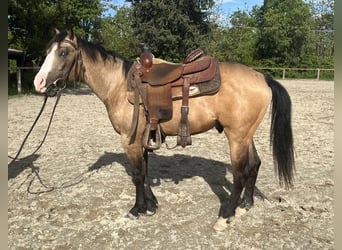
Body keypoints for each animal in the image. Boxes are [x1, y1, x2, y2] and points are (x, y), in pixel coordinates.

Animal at [33, 28, 294, 230]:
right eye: (47, 52)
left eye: (63, 52)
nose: (39, 82)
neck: (119, 86)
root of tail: (262, 78)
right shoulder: (143, 139)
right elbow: (146, 172)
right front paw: (151, 205)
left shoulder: (129, 140)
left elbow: (138, 175)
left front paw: (137, 209)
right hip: (245, 135)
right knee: (255, 164)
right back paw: (245, 205)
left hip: (236, 137)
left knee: (240, 174)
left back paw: (224, 217)